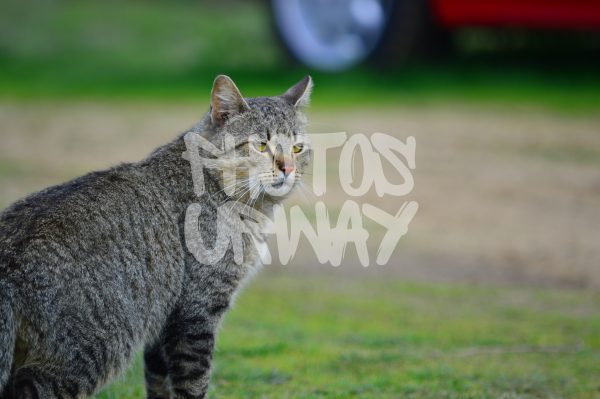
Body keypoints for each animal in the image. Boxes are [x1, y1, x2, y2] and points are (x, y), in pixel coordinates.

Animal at [1, 76, 314, 399]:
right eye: (261, 145)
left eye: (297, 148)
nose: (288, 168)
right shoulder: (194, 315)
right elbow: (193, 384)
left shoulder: (161, 324)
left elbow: (158, 382)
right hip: (91, 348)